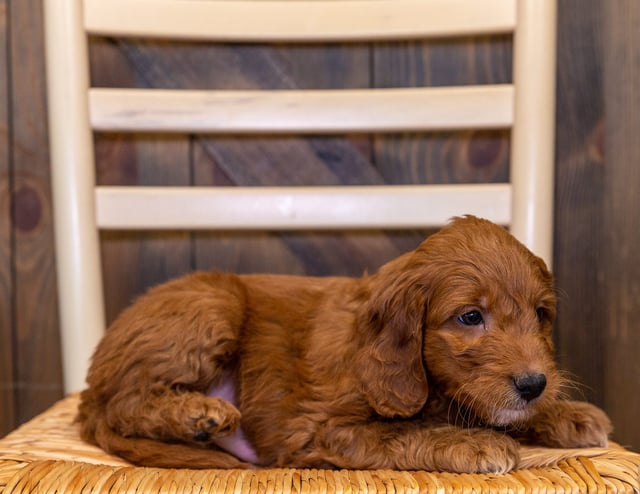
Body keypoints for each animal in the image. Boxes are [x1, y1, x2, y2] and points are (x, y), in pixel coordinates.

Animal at [77, 217, 612, 474]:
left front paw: (564, 413)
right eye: (470, 317)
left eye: (541, 314)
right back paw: (199, 414)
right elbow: (404, 431)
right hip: (213, 305)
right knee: (126, 402)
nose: (534, 383)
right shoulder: (321, 430)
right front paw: (472, 442)